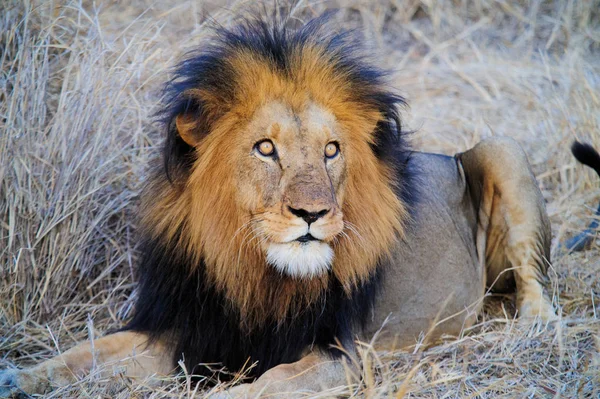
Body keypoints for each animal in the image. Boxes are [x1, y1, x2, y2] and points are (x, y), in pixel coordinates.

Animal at [0, 14, 564, 398]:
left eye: (331, 150)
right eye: (265, 148)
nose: (313, 214)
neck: (251, 269)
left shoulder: (343, 355)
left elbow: (268, 383)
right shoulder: (182, 328)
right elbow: (84, 353)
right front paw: (20, 376)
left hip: (503, 149)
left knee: (537, 286)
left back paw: (528, 328)